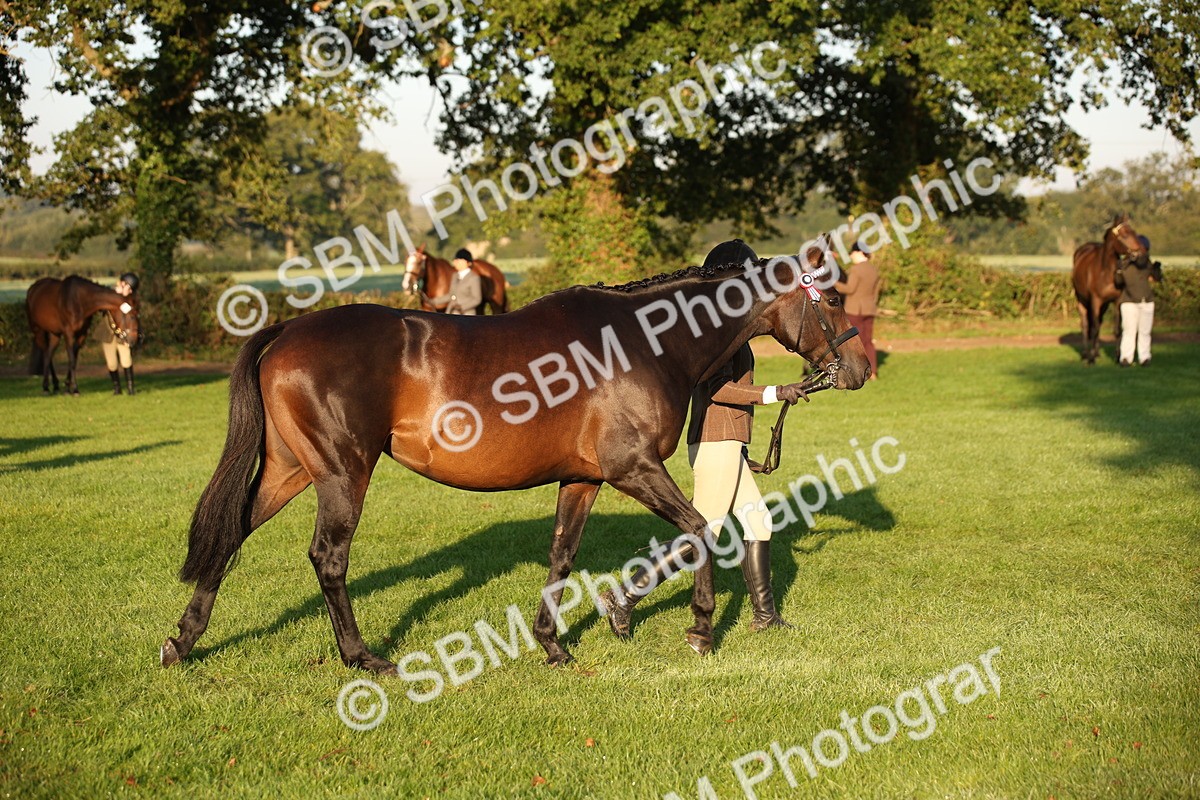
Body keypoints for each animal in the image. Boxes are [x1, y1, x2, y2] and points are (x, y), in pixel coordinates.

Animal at [161, 247, 870, 673]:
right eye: (833, 298)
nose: (861, 369)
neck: (646, 340)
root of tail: (289, 329)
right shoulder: (633, 468)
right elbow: (699, 531)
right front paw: (699, 629)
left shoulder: (582, 480)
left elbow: (562, 555)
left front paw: (553, 644)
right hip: (342, 472)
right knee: (328, 559)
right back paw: (363, 658)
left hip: (289, 470)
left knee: (231, 534)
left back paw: (182, 642)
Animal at [1071, 214, 1147, 365]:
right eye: (1125, 234)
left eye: (1134, 232)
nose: (1142, 252)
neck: (1105, 272)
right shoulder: (1095, 301)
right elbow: (1093, 329)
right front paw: (1091, 359)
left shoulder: (1116, 302)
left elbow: (1117, 330)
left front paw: (1118, 357)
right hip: (1081, 300)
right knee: (1085, 325)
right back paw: (1086, 354)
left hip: (1104, 305)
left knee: (1098, 323)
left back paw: (1097, 352)